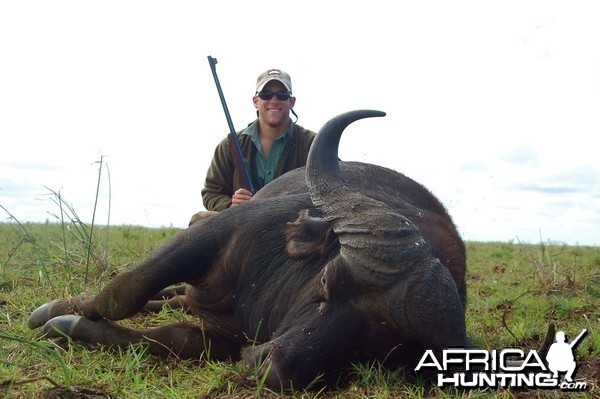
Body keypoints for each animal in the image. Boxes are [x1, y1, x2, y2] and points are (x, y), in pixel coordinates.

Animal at [29, 109, 468, 390]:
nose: (268, 369)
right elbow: (122, 293)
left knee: (176, 301)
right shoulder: (213, 234)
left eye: (378, 350)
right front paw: (54, 312)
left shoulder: (228, 338)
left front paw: (73, 325)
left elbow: (176, 338)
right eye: (328, 281)